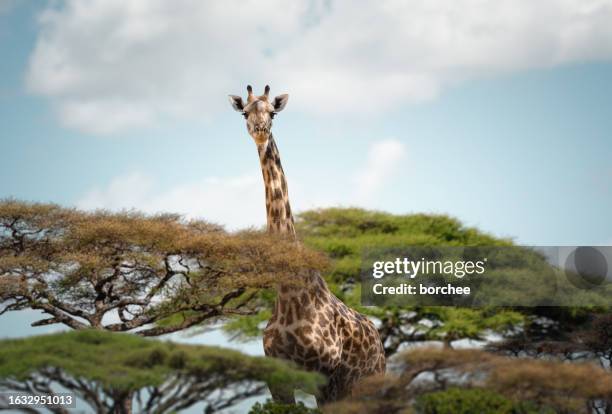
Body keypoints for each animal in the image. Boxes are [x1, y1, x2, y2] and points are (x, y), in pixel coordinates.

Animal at [227, 84, 384, 402]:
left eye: (273, 112)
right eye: (245, 113)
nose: (260, 130)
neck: (290, 297)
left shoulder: (327, 379)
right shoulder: (279, 381)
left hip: (368, 384)